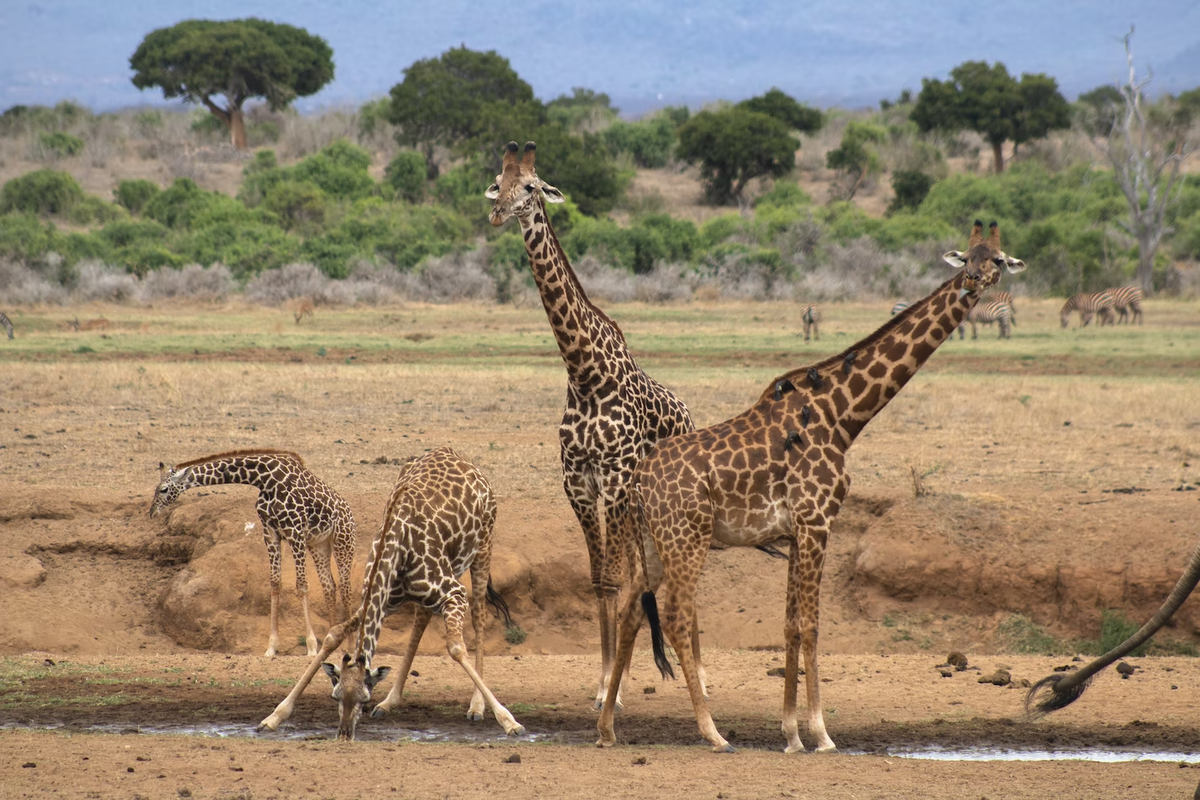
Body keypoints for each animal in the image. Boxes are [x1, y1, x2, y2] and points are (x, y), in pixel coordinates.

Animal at [150, 450, 355, 657]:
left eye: (164, 489)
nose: (152, 513)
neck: (264, 479)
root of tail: (349, 513)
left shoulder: (295, 531)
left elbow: (302, 586)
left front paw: (312, 647)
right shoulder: (271, 533)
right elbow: (275, 584)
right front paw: (271, 648)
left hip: (343, 541)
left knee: (345, 589)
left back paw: (351, 647)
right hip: (319, 544)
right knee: (329, 586)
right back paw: (332, 640)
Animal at [255, 448, 523, 743]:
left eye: (364, 700)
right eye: (335, 696)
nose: (344, 734)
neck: (396, 546)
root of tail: (455, 455)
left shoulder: (455, 594)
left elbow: (456, 647)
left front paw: (509, 721)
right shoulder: (380, 601)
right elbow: (333, 635)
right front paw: (273, 717)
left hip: (483, 548)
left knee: (478, 616)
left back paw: (476, 706)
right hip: (433, 582)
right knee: (422, 617)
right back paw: (390, 701)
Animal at [484, 140, 700, 710]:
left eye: (531, 186)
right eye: (498, 182)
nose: (498, 213)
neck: (583, 374)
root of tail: (690, 417)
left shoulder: (615, 478)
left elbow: (619, 579)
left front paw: (615, 687)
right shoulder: (578, 481)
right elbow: (601, 581)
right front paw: (603, 686)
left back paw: (701, 670)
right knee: (645, 573)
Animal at [595, 219, 1027, 753]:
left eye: (997, 259)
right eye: (967, 257)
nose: (972, 281)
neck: (844, 416)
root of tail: (638, 481)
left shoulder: (796, 530)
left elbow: (789, 626)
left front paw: (790, 733)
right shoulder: (819, 521)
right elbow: (812, 625)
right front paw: (820, 733)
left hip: (653, 543)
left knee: (631, 608)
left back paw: (607, 728)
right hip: (687, 538)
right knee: (675, 614)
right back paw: (713, 732)